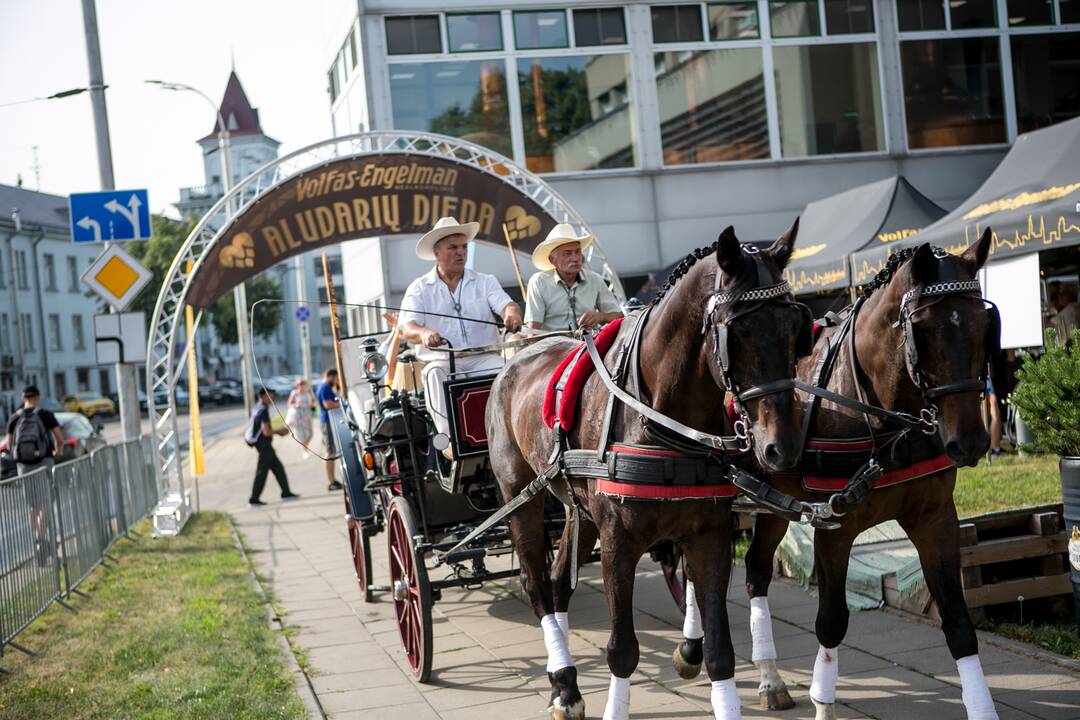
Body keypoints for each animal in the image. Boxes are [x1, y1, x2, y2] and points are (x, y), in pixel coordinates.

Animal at [490, 222, 812, 716]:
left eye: (796, 327)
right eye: (736, 333)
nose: (783, 446)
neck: (656, 416)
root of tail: (517, 358)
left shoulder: (708, 535)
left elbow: (720, 652)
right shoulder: (619, 541)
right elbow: (623, 651)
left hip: (580, 511)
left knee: (561, 580)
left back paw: (564, 685)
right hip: (520, 497)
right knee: (539, 585)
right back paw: (563, 679)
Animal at [678, 232, 997, 720]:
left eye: (984, 325)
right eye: (922, 331)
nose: (972, 441)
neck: (877, 410)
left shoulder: (935, 518)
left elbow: (959, 625)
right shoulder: (834, 525)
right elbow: (831, 622)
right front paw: (823, 702)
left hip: (771, 501)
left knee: (754, 571)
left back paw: (769, 677)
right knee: (697, 569)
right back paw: (696, 650)